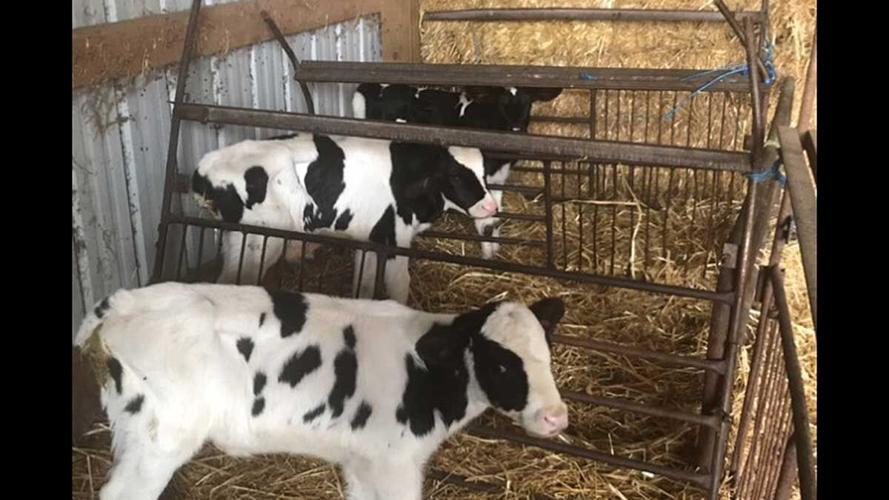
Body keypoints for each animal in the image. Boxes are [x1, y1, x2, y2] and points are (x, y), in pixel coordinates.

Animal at [74, 283, 569, 500]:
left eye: (547, 354)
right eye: (501, 362)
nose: (555, 417)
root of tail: (119, 304)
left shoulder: (362, 462)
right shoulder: (394, 464)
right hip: (161, 438)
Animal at [191, 133, 498, 303]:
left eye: (484, 172)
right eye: (455, 175)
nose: (491, 207)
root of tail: (205, 168)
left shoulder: (370, 238)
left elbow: (364, 285)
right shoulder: (395, 239)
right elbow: (400, 286)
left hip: (238, 239)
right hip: (260, 240)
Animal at [352, 84, 562, 259]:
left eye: (529, 104)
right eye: (501, 105)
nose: (516, 130)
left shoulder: (497, 179)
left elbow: (495, 219)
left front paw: (495, 249)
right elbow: (484, 222)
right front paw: (487, 255)